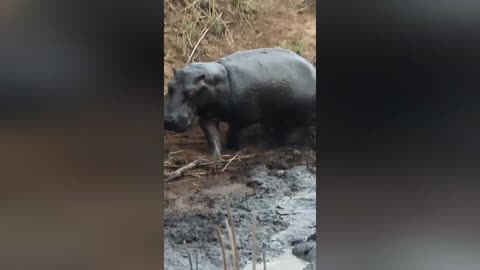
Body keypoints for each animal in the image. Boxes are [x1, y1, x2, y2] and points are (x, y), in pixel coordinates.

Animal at [163, 47, 316, 159]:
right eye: (170, 86)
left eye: (190, 92)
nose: (168, 119)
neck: (219, 80)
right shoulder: (207, 116)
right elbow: (212, 137)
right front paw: (214, 157)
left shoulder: (241, 118)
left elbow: (233, 133)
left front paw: (234, 149)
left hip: (298, 118)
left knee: (295, 134)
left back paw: (275, 145)